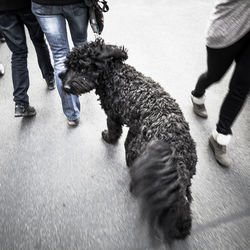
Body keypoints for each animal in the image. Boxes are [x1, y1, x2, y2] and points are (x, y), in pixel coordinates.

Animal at [59, 39, 197, 242]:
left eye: (83, 68)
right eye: (69, 66)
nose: (66, 87)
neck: (114, 74)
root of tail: (174, 154)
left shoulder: (112, 114)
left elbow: (113, 129)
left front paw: (108, 138)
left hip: (134, 150)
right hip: (184, 180)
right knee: (183, 201)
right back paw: (182, 226)